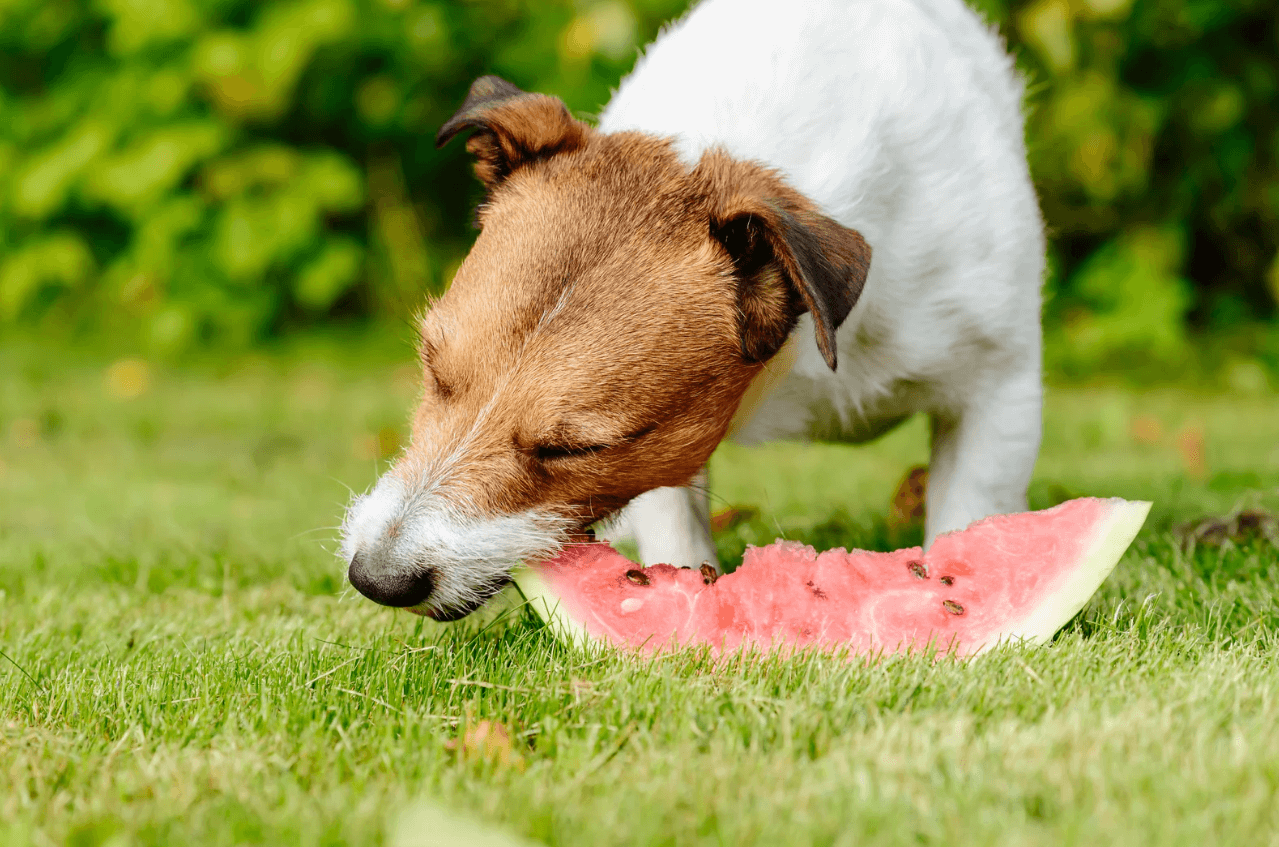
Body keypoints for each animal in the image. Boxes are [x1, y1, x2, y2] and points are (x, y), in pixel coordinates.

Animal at [335, 0, 1043, 624]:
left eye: (576, 449)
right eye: (434, 371)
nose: (377, 579)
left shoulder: (999, 390)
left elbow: (969, 512)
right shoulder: (672, 450)